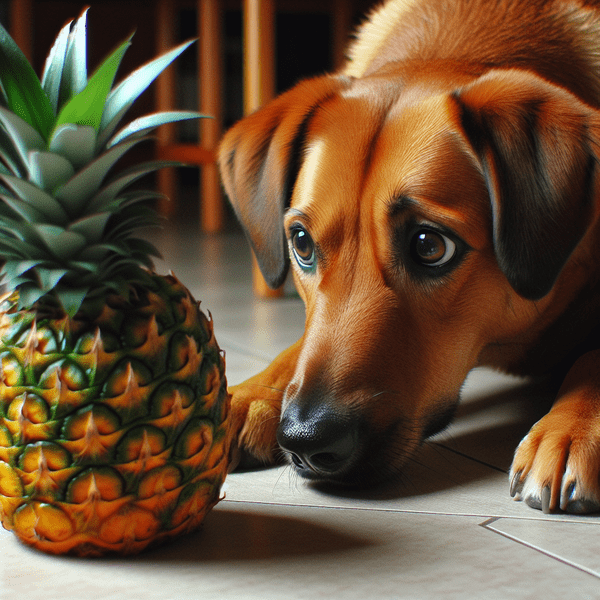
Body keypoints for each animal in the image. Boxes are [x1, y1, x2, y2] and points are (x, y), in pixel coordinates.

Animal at [217, 1, 600, 516]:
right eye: (301, 243)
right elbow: (296, 349)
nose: (305, 440)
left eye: (429, 246)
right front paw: (252, 392)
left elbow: (593, 357)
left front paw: (572, 429)